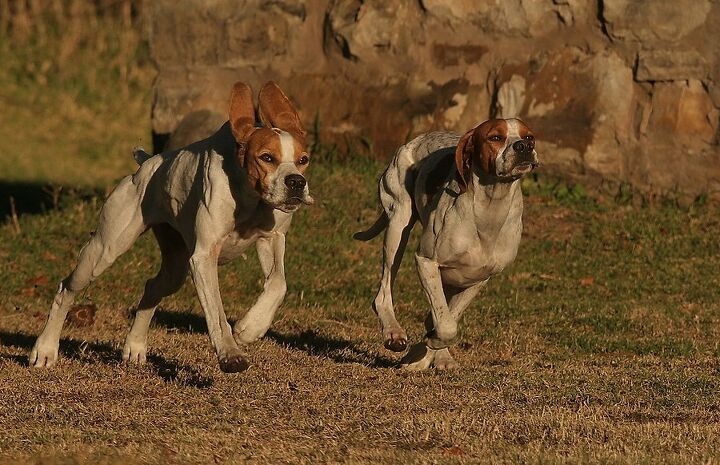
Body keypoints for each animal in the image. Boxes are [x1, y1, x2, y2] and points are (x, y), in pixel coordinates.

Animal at [31, 81, 312, 374]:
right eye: (266, 157)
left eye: (303, 159)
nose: (296, 182)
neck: (251, 198)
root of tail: (145, 164)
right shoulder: (203, 258)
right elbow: (217, 312)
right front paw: (231, 354)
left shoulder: (272, 237)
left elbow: (278, 283)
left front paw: (250, 328)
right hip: (103, 251)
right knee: (66, 289)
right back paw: (45, 350)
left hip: (175, 267)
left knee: (152, 287)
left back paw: (135, 346)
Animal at [358, 118, 536, 370]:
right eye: (495, 137)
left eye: (529, 137)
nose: (524, 147)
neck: (490, 209)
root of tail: (415, 139)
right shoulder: (426, 262)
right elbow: (447, 326)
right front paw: (423, 351)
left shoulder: (478, 278)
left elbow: (446, 318)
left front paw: (427, 353)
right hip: (398, 226)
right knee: (383, 294)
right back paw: (393, 333)